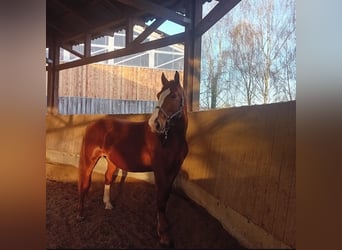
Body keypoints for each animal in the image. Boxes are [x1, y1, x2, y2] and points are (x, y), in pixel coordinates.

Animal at [77, 71, 188, 246]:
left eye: (174, 96)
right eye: (158, 95)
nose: (155, 124)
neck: (169, 139)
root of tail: (92, 125)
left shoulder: (173, 170)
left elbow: (166, 196)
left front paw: (164, 226)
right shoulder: (160, 171)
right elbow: (160, 200)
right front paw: (163, 234)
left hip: (112, 161)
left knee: (108, 178)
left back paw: (108, 204)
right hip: (89, 161)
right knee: (84, 183)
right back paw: (81, 214)